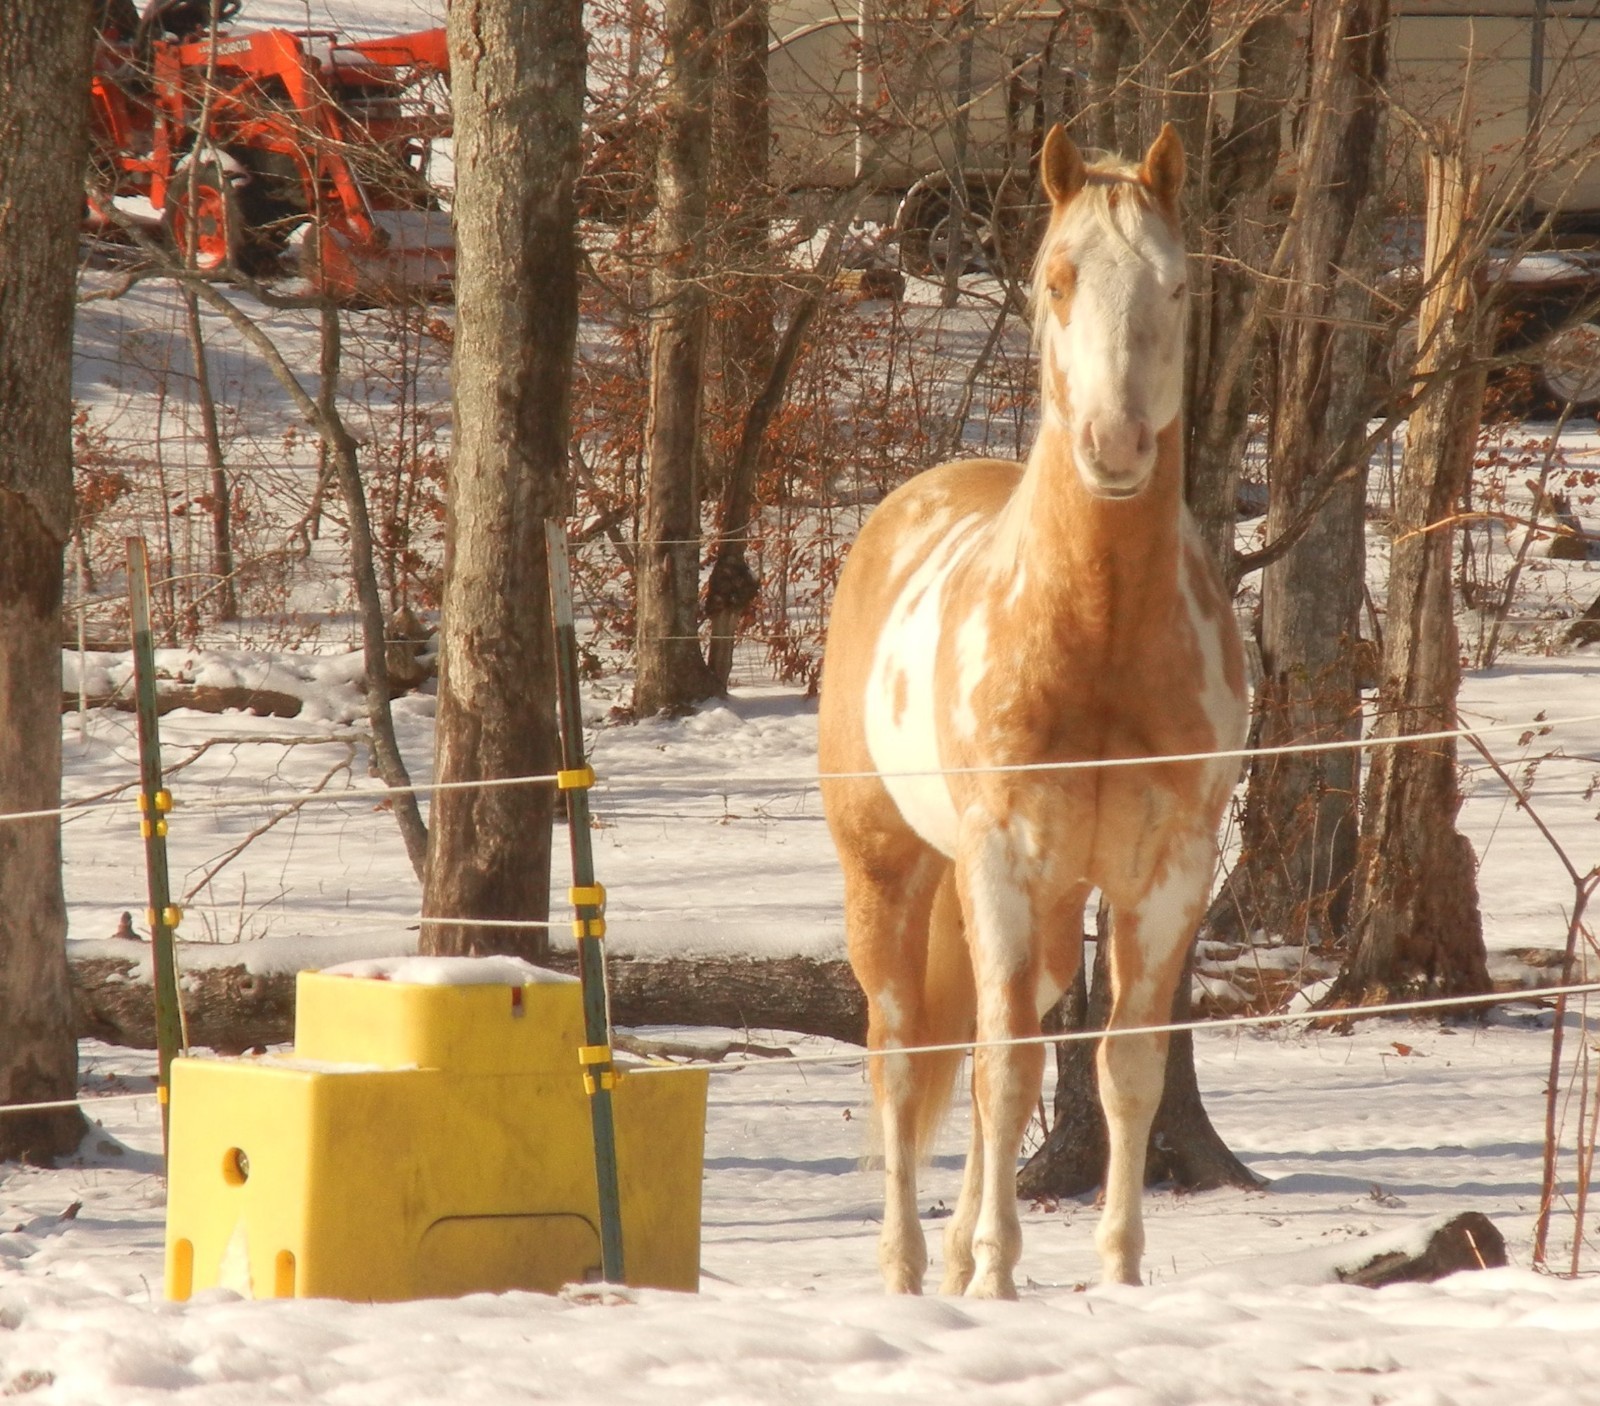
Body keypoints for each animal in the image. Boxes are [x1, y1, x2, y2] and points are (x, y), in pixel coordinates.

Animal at [817, 123, 1248, 1300]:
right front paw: (998, 1280)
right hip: (894, 871)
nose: (1114, 446)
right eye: (1057, 278)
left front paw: (1117, 1270)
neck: (1095, 636)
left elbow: (1123, 1067)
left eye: (1178, 284)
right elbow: (1006, 1071)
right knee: (906, 1048)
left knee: (975, 1042)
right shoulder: (999, 856)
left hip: (1046, 913)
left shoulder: (1168, 873)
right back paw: (909, 1264)